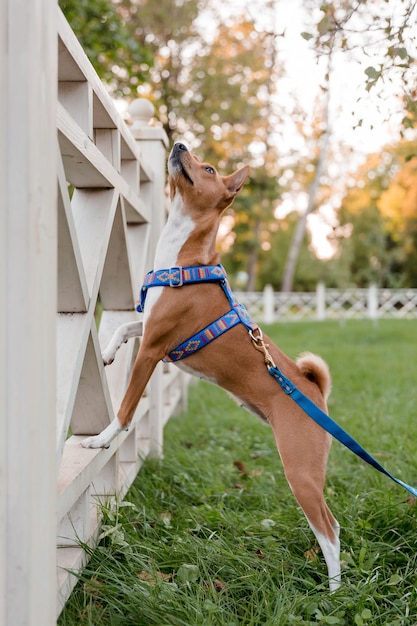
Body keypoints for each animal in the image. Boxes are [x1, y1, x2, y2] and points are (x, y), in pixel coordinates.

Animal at [82, 143, 342, 588]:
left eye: (208, 169)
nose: (179, 144)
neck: (182, 261)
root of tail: (314, 390)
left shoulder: (153, 350)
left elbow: (126, 409)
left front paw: (102, 438)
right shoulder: (151, 331)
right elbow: (126, 326)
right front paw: (106, 352)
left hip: (301, 472)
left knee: (328, 528)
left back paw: (335, 589)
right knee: (335, 525)